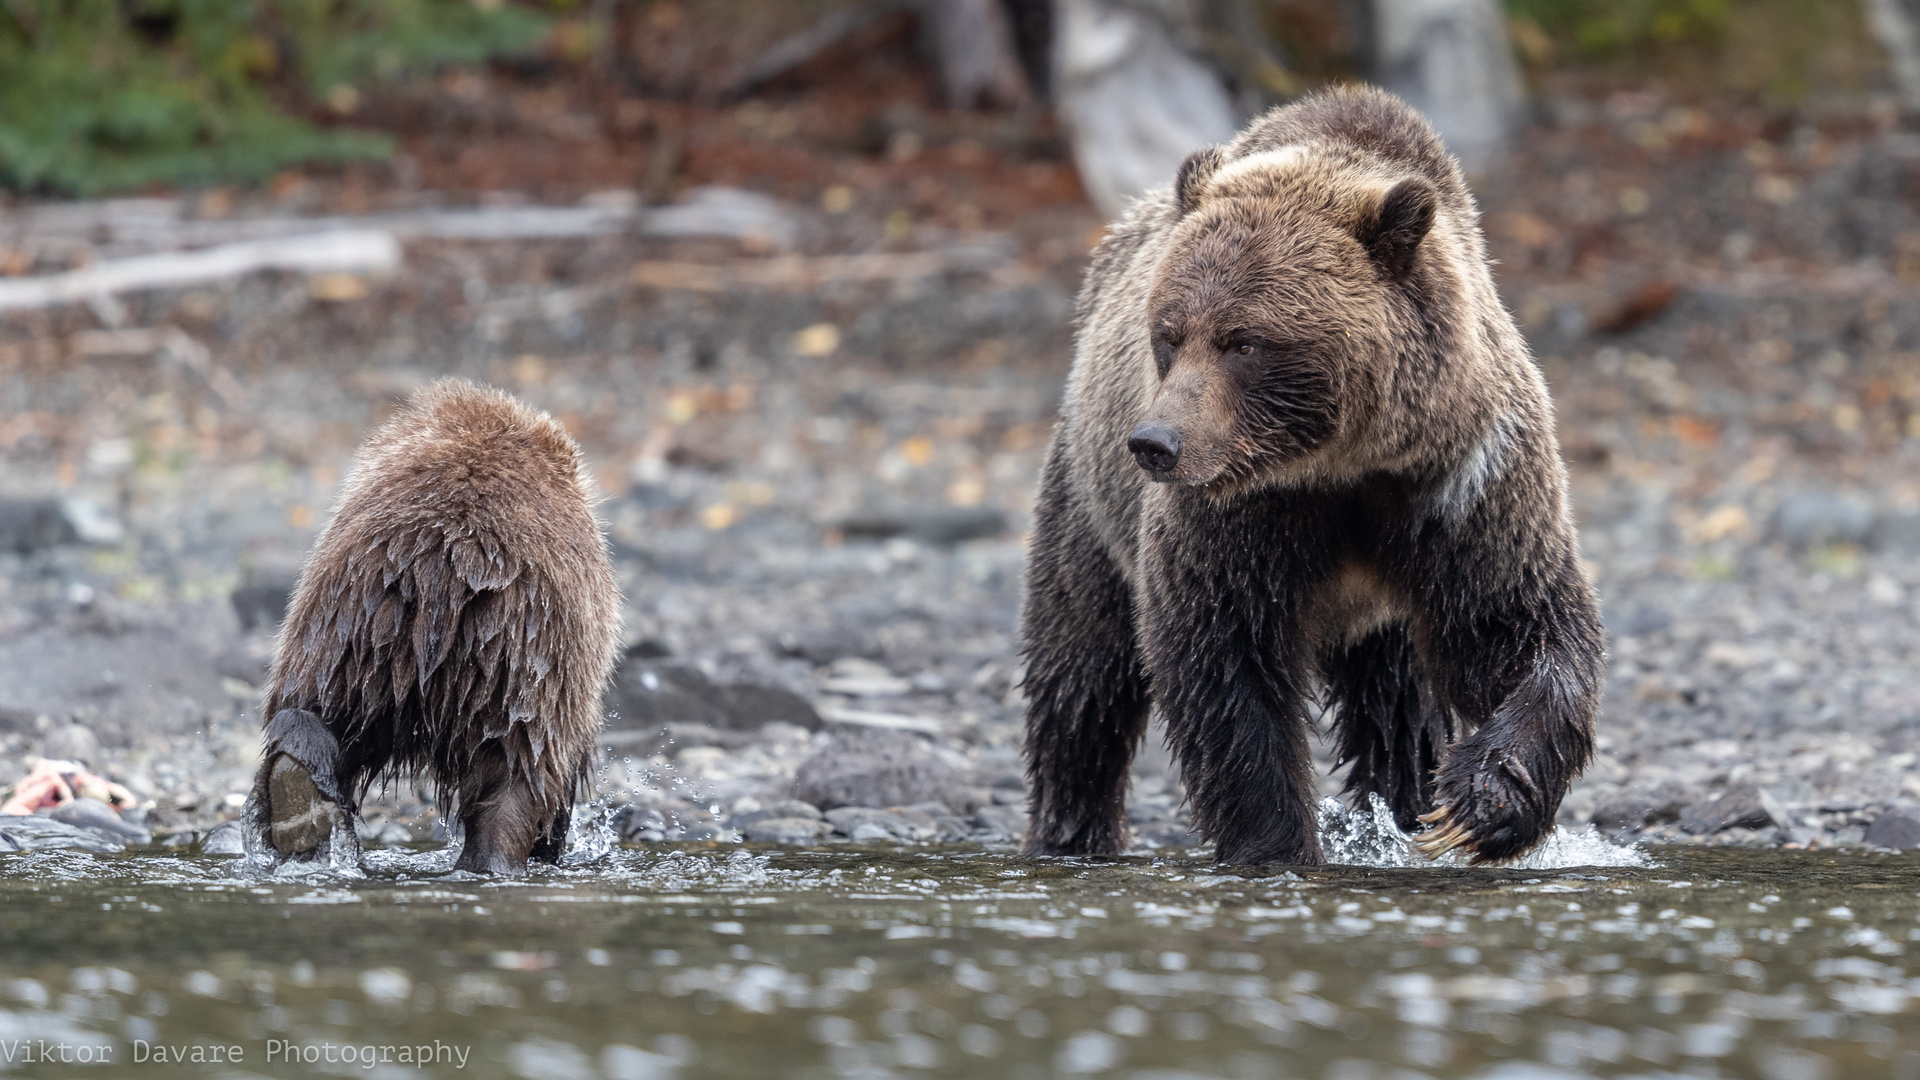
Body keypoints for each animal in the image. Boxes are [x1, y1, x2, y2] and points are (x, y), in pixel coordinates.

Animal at [240, 380, 614, 876]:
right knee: (518, 773)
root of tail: (443, 563)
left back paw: (300, 798)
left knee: (317, 707)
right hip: (525, 652)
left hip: (350, 627)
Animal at [1021, 90, 1605, 864]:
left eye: (1242, 341)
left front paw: (1479, 803)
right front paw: (1277, 844)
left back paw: (1404, 808)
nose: (1155, 444)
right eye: (1169, 334)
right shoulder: (1240, 514)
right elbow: (1225, 662)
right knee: (1082, 671)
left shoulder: (1462, 484)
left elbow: (1516, 626)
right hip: (1089, 499)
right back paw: (1070, 830)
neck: (1341, 464)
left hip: (1382, 621)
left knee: (1399, 709)